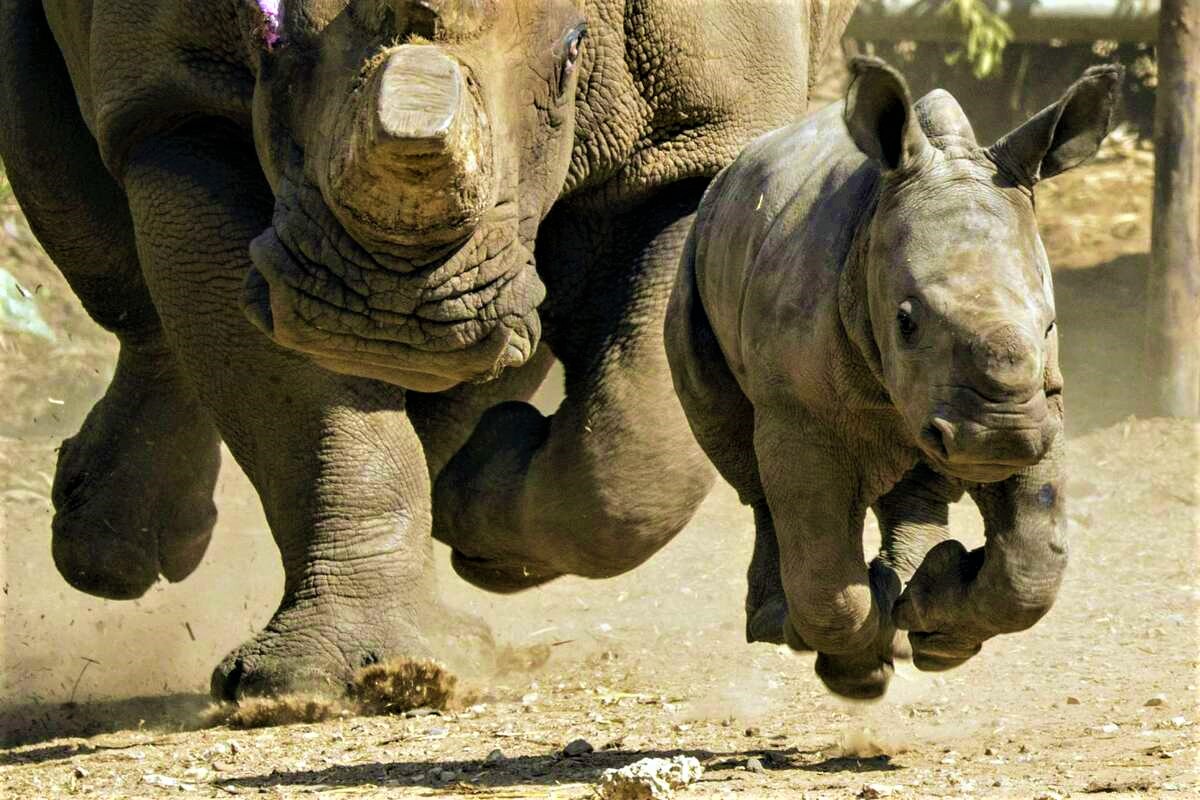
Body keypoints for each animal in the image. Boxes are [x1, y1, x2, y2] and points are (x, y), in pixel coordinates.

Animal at [0, 0, 856, 699]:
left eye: (574, 54)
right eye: (266, 36)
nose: (386, 313)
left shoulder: (700, 137)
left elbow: (634, 452)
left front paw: (480, 517)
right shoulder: (177, 114)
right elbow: (302, 406)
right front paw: (341, 681)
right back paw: (115, 553)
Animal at [665, 57, 1121, 699]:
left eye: (1052, 324)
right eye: (905, 322)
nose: (997, 437)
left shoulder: (1042, 402)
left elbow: (1033, 560)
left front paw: (938, 629)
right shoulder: (800, 413)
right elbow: (825, 576)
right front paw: (858, 672)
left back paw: (913, 609)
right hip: (693, 269)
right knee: (743, 462)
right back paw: (787, 623)